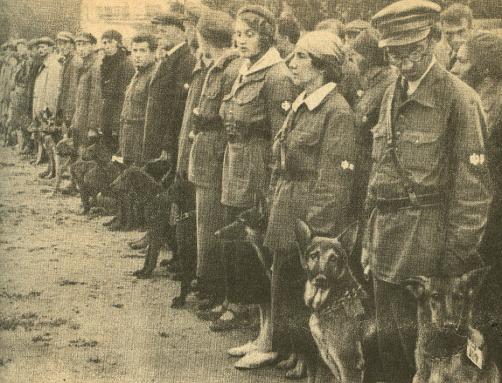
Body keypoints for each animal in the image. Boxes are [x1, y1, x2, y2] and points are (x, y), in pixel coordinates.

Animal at [294, 219, 380, 383]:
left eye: (333, 258)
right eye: (314, 256)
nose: (320, 279)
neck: (336, 301)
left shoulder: (350, 368)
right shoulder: (329, 365)